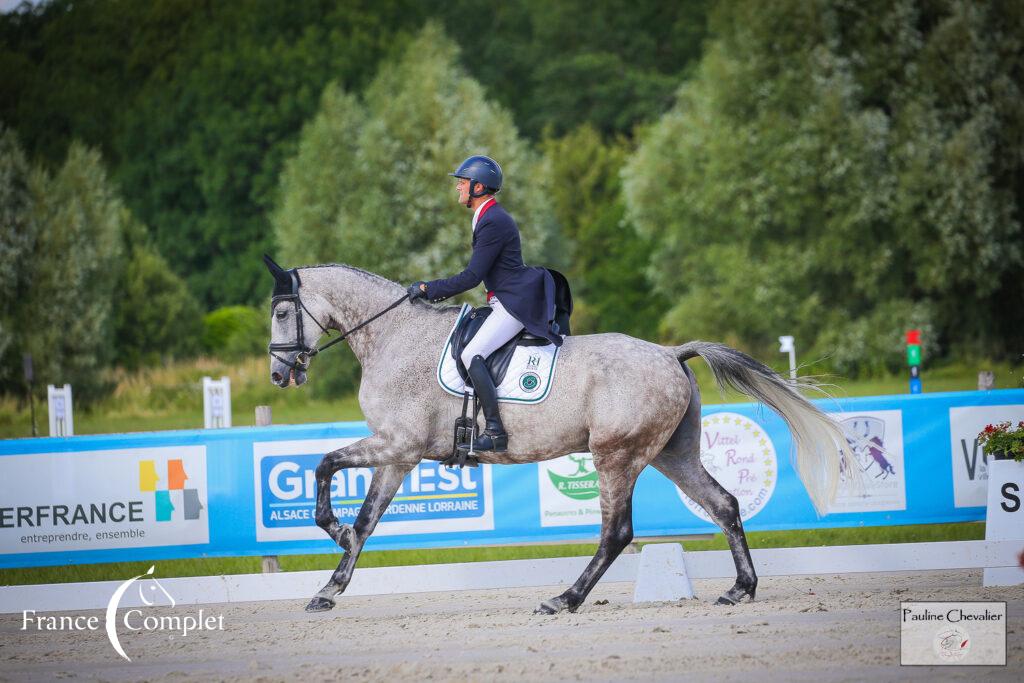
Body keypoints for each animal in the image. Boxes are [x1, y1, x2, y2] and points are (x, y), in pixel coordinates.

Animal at [264, 259, 856, 618]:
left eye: (282, 311)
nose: (279, 374)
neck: (392, 336)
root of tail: (670, 354)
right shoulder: (397, 456)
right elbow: (366, 517)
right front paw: (329, 586)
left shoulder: (398, 446)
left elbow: (324, 465)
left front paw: (332, 534)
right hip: (672, 454)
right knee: (725, 504)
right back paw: (740, 588)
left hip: (616, 456)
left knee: (616, 533)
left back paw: (564, 599)